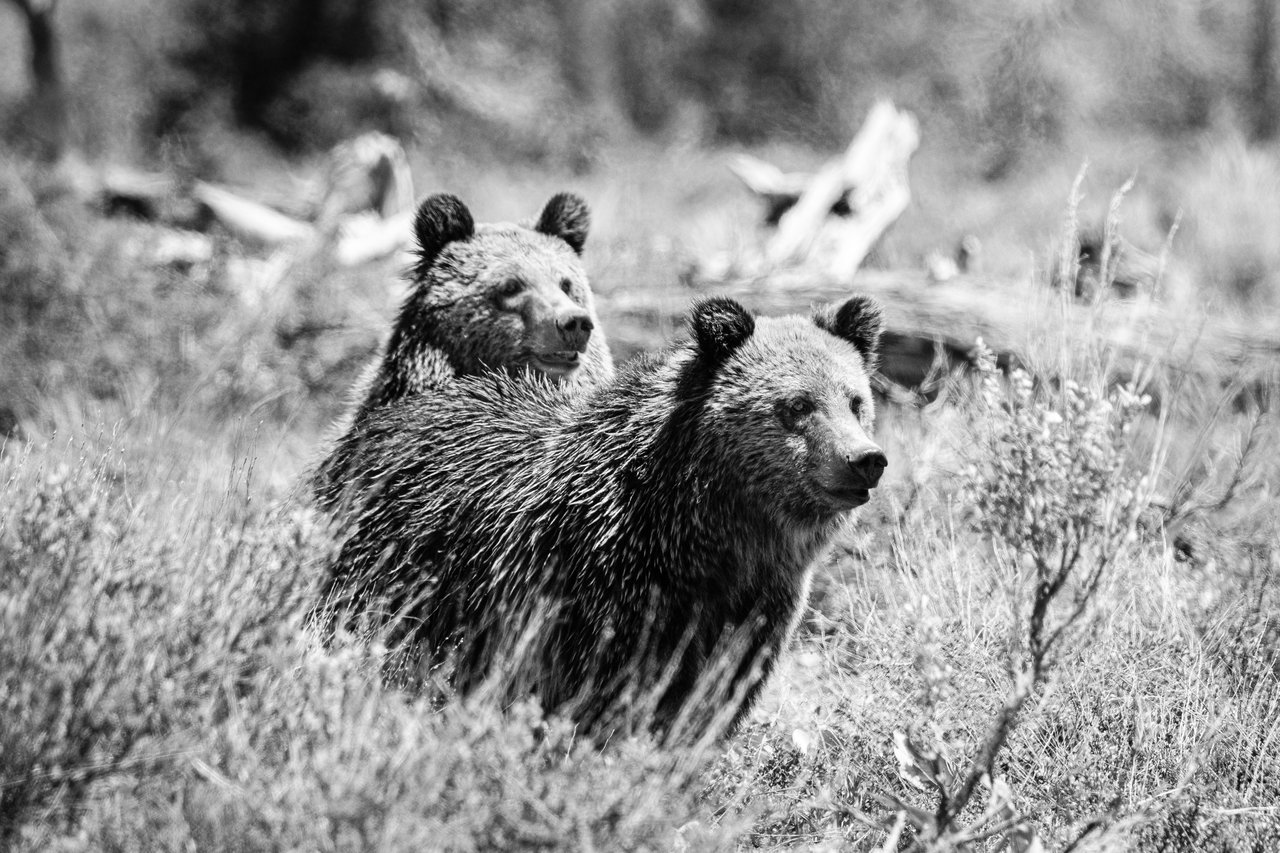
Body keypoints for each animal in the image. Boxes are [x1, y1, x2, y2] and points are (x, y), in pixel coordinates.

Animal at [316, 294, 887, 737]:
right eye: (797, 405)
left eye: (855, 400)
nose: (865, 459)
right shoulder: (600, 585)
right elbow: (596, 690)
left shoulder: (757, 604)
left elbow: (714, 696)